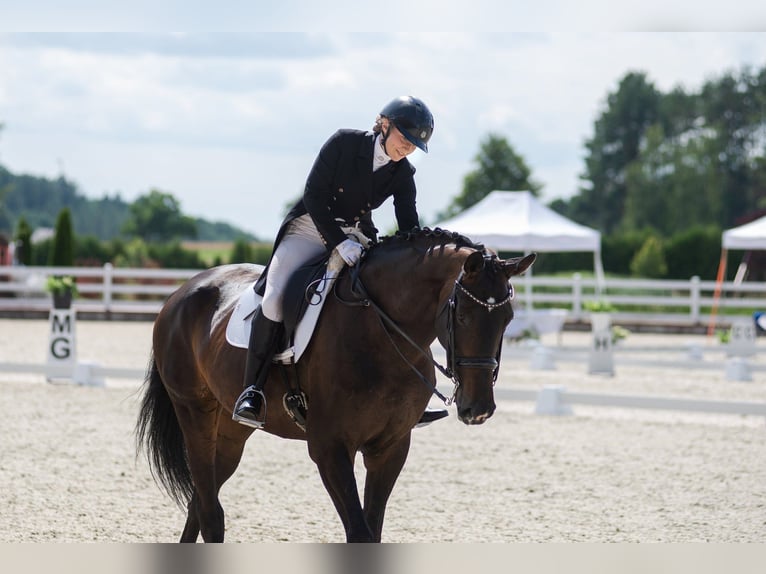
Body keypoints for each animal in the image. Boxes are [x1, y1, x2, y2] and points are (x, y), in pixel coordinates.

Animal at [136, 227, 536, 544]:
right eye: (463, 315)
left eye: (507, 318)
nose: (478, 409)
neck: (381, 333)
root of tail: (181, 293)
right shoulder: (329, 448)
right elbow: (359, 533)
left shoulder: (390, 447)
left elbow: (373, 530)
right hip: (195, 413)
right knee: (209, 510)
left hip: (231, 430)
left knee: (200, 502)